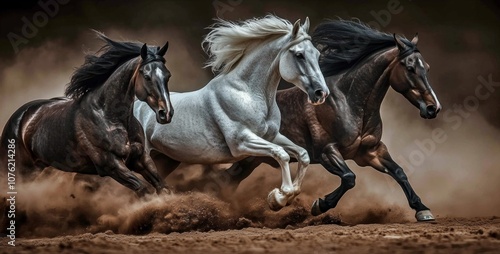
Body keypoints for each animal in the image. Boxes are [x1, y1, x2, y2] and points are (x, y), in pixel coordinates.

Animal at [0, 30, 173, 195]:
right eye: (147, 76)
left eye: (168, 75)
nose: (166, 113)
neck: (109, 117)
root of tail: (18, 118)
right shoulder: (111, 165)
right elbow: (144, 190)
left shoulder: (140, 158)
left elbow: (163, 187)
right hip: (20, 171)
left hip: (39, 168)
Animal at [134, 14, 328, 211]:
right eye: (299, 55)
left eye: (317, 54)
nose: (321, 93)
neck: (248, 93)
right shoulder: (241, 143)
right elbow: (281, 154)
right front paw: (279, 197)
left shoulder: (271, 136)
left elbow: (302, 155)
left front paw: (285, 195)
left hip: (164, 158)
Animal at [217, 20, 440, 222]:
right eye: (410, 68)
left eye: (427, 68)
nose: (433, 108)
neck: (349, 102)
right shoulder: (327, 152)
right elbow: (349, 178)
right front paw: (320, 205)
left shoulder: (370, 151)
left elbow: (399, 172)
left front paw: (422, 210)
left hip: (250, 161)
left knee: (228, 180)